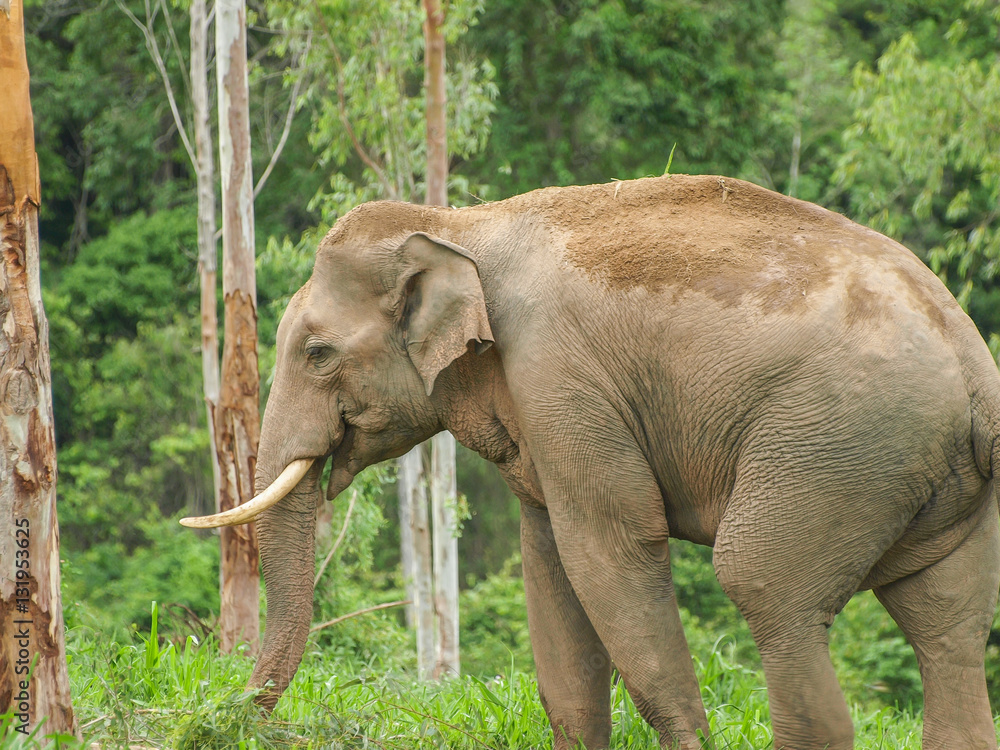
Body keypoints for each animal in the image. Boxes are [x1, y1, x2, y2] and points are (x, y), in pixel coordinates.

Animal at [182, 174, 1000, 750]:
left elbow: (609, 546)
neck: (456, 225)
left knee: (764, 586)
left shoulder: (559, 377)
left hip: (837, 446)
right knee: (947, 625)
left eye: (316, 353)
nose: (229, 721)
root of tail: (974, 364)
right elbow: (549, 566)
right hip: (925, 476)